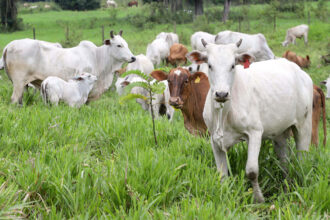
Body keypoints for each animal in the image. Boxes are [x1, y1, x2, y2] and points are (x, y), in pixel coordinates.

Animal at [195, 39, 314, 203]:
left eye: (233, 65)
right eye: (210, 65)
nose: (221, 94)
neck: (224, 114)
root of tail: (300, 72)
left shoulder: (255, 132)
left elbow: (251, 171)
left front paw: (259, 199)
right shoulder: (214, 138)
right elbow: (222, 173)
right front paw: (224, 194)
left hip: (304, 125)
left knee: (302, 158)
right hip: (280, 132)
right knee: (284, 161)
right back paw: (285, 186)